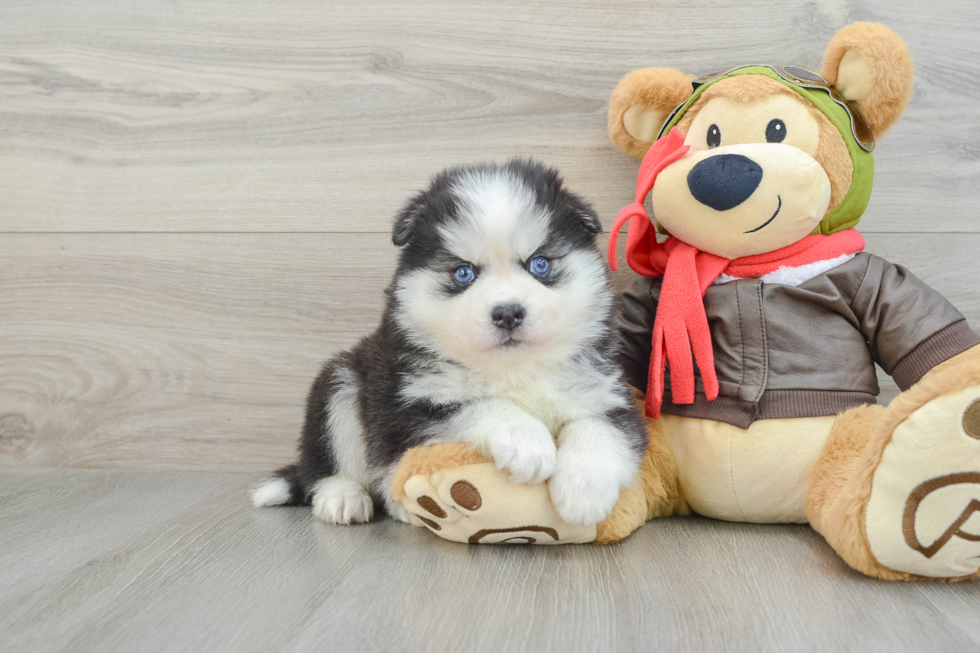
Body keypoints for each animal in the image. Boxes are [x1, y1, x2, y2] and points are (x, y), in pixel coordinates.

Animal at [253, 160, 648, 528]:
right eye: (463, 272)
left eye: (539, 264)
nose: (507, 313)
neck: (513, 370)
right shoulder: (409, 402)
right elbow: (480, 404)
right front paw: (527, 442)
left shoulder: (611, 393)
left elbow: (598, 426)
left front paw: (585, 490)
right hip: (341, 383)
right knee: (328, 465)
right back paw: (344, 496)